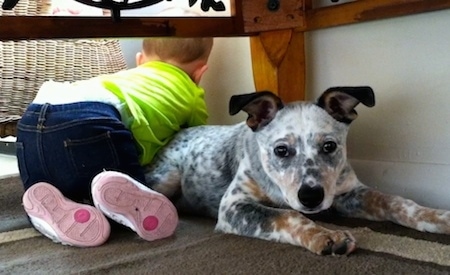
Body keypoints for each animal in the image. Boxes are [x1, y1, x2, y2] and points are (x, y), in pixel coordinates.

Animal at [144, 87, 450, 256]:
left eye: (329, 146)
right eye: (281, 150)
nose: (311, 197)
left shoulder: (348, 192)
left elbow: (394, 201)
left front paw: (435, 216)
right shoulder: (233, 207)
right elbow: (286, 215)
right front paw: (326, 236)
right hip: (167, 178)